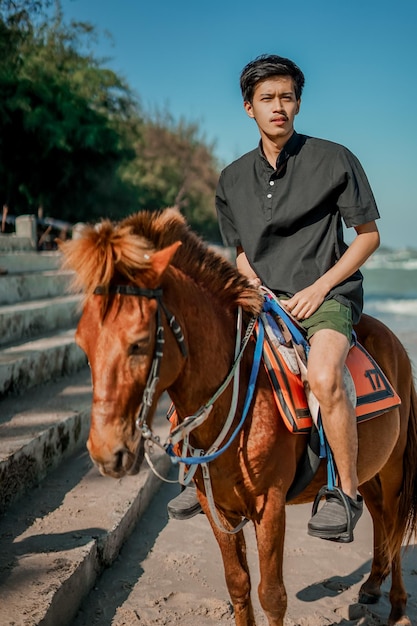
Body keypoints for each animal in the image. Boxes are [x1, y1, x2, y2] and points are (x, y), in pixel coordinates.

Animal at [59, 207, 416, 620]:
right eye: (83, 343)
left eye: (139, 343)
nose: (106, 452)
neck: (242, 391)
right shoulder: (217, 506)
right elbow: (238, 585)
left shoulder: (270, 507)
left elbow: (272, 595)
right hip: (368, 471)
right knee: (378, 517)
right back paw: (372, 584)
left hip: (393, 469)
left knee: (394, 524)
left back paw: (398, 605)